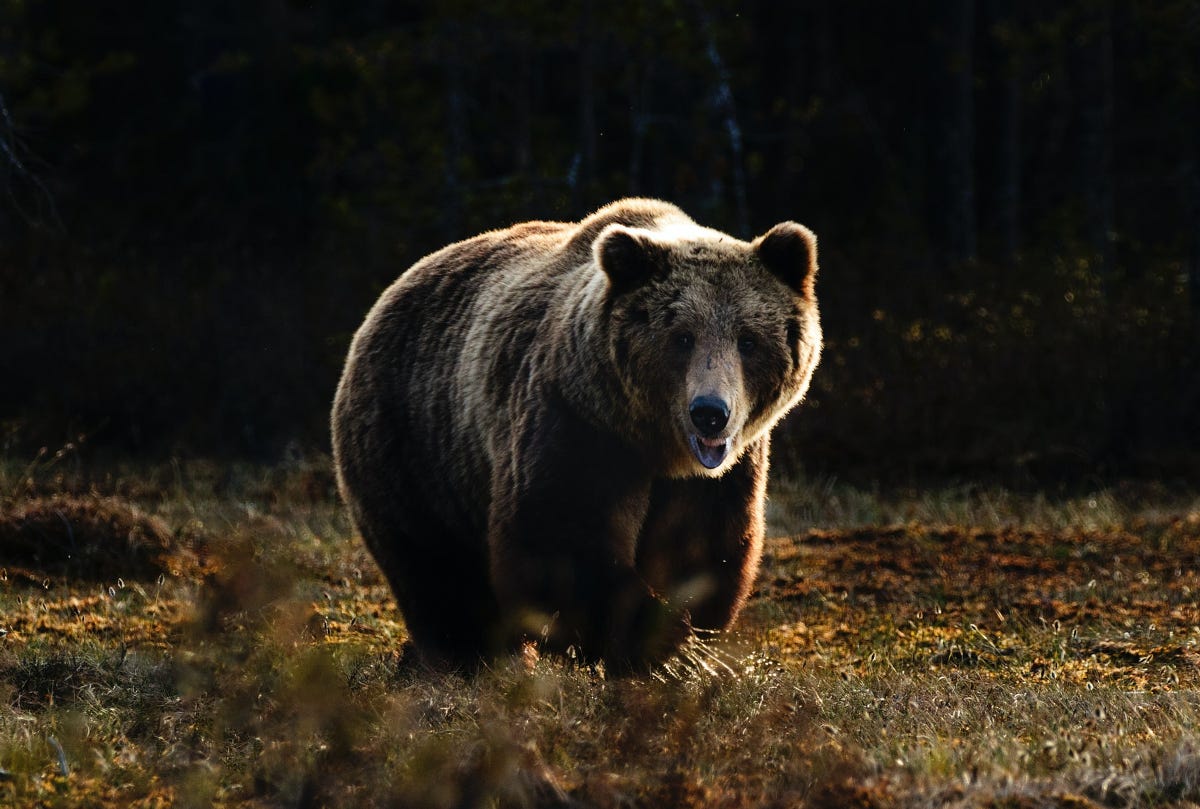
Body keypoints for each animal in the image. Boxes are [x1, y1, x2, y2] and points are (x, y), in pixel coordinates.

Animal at [331, 198, 822, 671]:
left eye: (748, 340)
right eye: (682, 337)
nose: (710, 414)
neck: (654, 444)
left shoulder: (722, 474)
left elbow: (702, 549)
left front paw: (683, 640)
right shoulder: (575, 422)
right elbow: (560, 538)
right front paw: (656, 644)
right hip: (414, 443)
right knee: (437, 568)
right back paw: (467, 656)